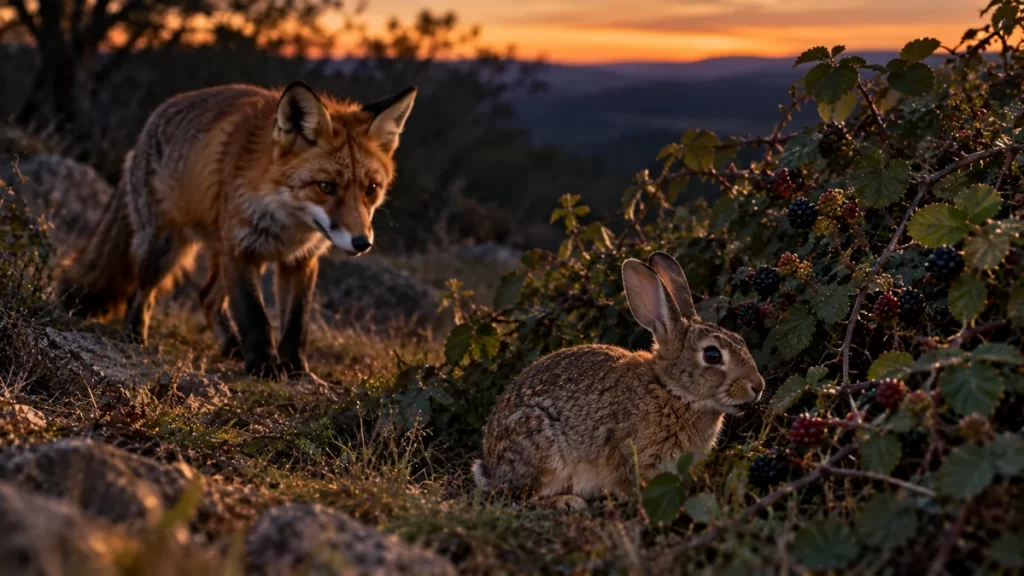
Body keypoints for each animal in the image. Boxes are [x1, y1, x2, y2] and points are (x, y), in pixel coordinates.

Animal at [56, 81, 417, 379]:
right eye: (326, 187)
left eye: (371, 189)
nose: (362, 243)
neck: (289, 225)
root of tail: (149, 125)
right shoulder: (243, 254)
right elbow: (255, 317)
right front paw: (264, 367)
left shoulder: (299, 261)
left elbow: (296, 323)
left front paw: (295, 368)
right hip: (164, 250)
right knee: (140, 292)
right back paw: (134, 336)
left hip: (221, 254)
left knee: (206, 296)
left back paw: (230, 346)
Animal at [472, 251, 765, 509]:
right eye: (712, 355)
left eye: (740, 340)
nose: (758, 387)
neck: (672, 391)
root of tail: (491, 467)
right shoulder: (626, 454)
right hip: (542, 450)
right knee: (518, 496)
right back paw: (566, 502)